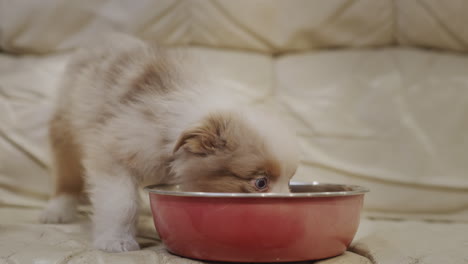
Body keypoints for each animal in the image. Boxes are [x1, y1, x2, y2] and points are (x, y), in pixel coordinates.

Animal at [38, 34, 298, 252]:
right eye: (261, 182)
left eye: (289, 181)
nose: (286, 211)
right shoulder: (114, 151)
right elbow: (121, 203)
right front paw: (116, 240)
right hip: (66, 128)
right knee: (66, 174)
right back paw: (57, 210)